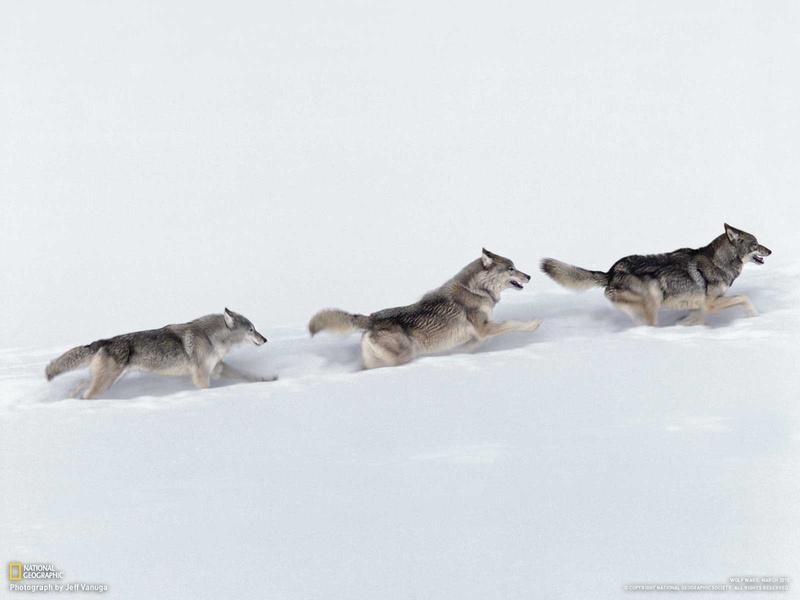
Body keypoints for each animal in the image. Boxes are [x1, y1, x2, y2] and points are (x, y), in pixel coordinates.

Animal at [45, 308, 275, 399]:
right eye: (251, 329)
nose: (265, 339)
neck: (211, 338)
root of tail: (103, 341)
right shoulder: (202, 376)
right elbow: (206, 388)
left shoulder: (217, 368)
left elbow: (247, 375)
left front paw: (268, 379)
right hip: (105, 384)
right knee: (87, 393)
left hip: (109, 381)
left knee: (80, 385)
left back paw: (71, 399)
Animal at [309, 249, 541, 369]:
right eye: (511, 268)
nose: (529, 276)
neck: (477, 290)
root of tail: (371, 318)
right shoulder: (483, 328)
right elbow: (512, 323)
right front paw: (533, 324)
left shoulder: (480, 333)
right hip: (405, 355)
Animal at [541, 223, 771, 326]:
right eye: (756, 244)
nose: (770, 251)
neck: (720, 262)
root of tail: (610, 272)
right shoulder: (711, 304)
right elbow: (744, 298)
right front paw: (756, 317)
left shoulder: (701, 306)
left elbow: (695, 317)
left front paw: (683, 325)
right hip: (654, 299)